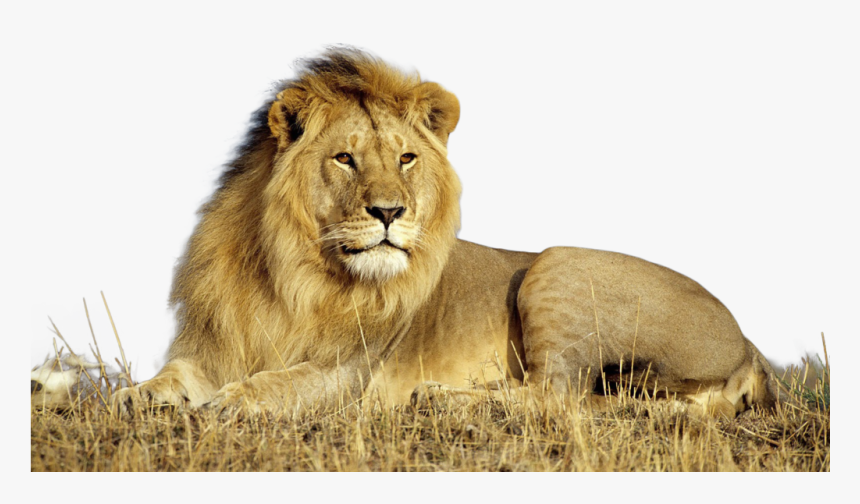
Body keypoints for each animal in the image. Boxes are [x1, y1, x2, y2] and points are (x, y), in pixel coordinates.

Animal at [114, 48, 779, 418]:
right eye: (345, 159)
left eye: (406, 158)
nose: (390, 212)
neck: (290, 271)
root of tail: (750, 344)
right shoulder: (216, 345)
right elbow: (175, 374)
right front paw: (132, 395)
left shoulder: (352, 371)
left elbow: (286, 381)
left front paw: (235, 400)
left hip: (555, 265)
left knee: (557, 396)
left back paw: (440, 399)